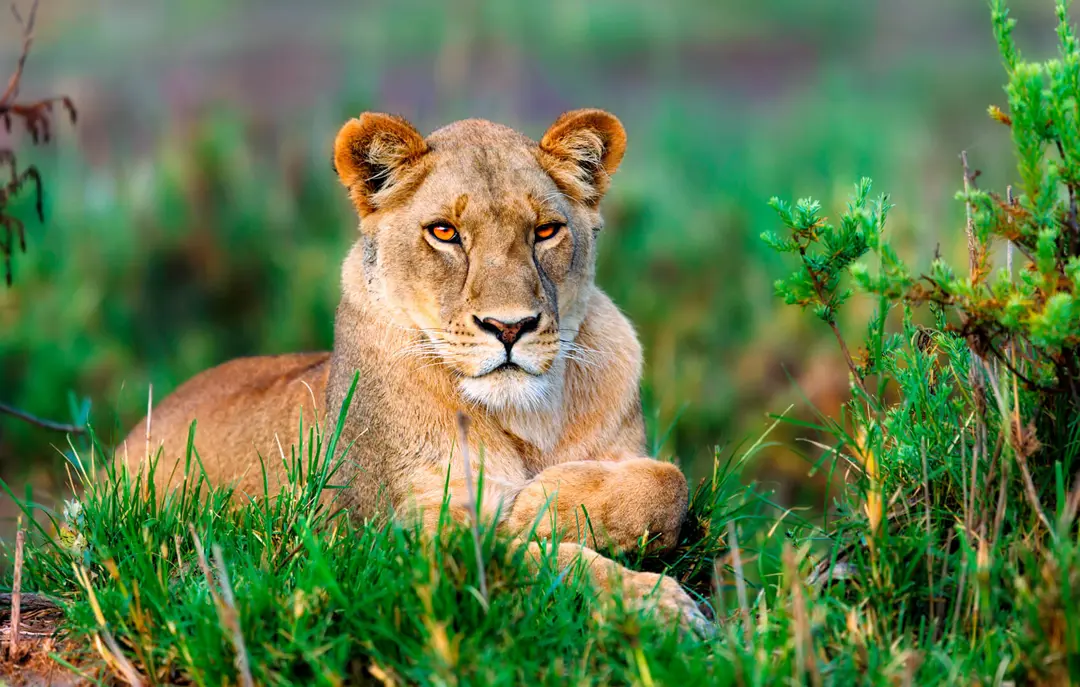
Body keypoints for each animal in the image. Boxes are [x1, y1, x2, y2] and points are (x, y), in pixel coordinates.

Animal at [121, 109, 711, 633]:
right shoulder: (401, 536)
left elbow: (669, 485)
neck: (528, 419)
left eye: (546, 231)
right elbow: (530, 558)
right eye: (444, 232)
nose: (509, 327)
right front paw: (656, 604)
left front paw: (545, 502)